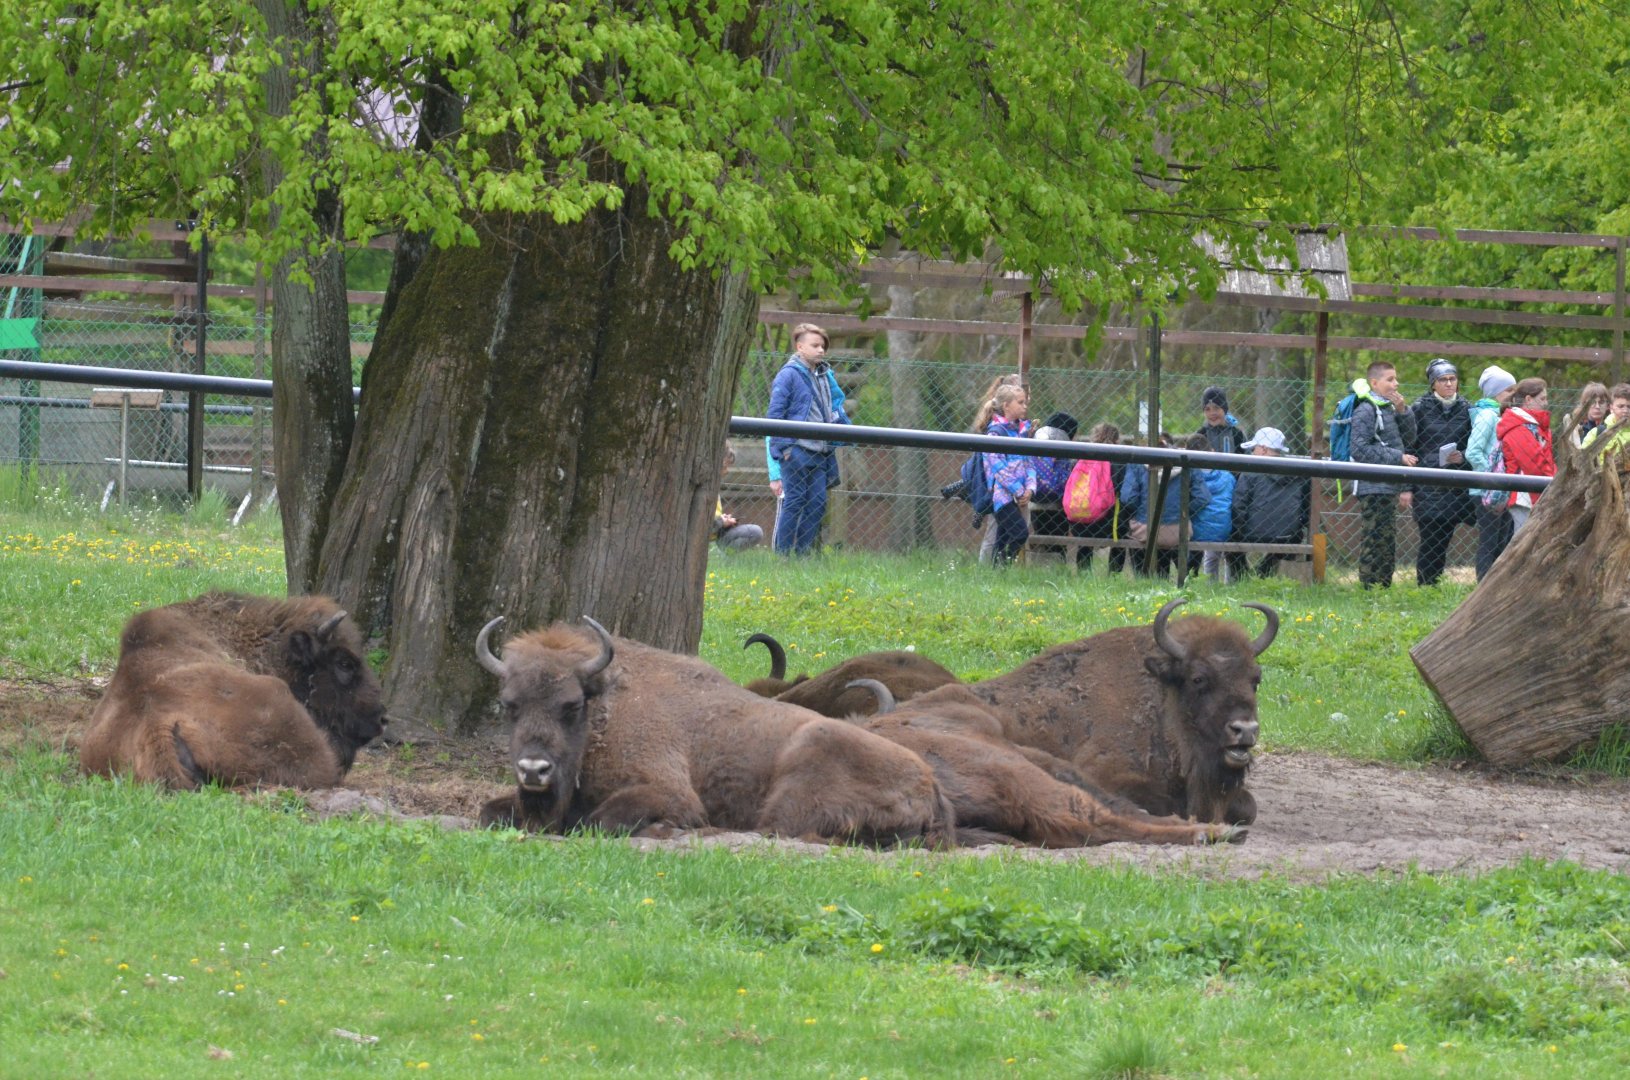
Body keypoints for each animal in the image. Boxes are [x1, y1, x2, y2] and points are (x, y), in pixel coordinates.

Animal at [476, 618, 956, 847]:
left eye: (571, 705)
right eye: (509, 705)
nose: (533, 770)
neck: (608, 709)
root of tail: (930, 788)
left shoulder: (669, 791)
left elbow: (601, 820)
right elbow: (487, 811)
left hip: (803, 766)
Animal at [916, 599, 1278, 827]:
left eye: (1255, 679)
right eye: (1198, 678)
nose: (1245, 730)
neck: (1161, 698)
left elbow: (1248, 806)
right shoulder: (1108, 774)